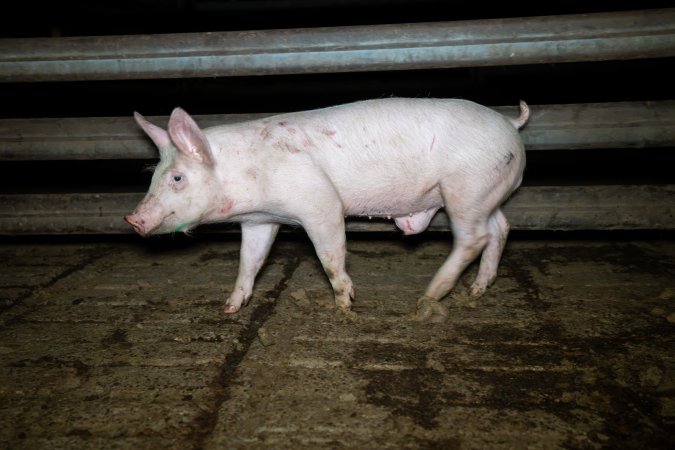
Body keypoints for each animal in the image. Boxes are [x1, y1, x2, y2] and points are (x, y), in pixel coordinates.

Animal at [125, 98, 528, 322]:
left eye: (177, 177)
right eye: (154, 175)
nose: (132, 219)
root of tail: (511, 124)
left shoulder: (319, 202)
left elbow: (329, 254)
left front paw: (345, 305)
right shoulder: (261, 220)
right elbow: (249, 261)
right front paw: (229, 308)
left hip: (466, 185)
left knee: (474, 238)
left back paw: (428, 297)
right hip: (487, 191)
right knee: (501, 228)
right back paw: (477, 291)